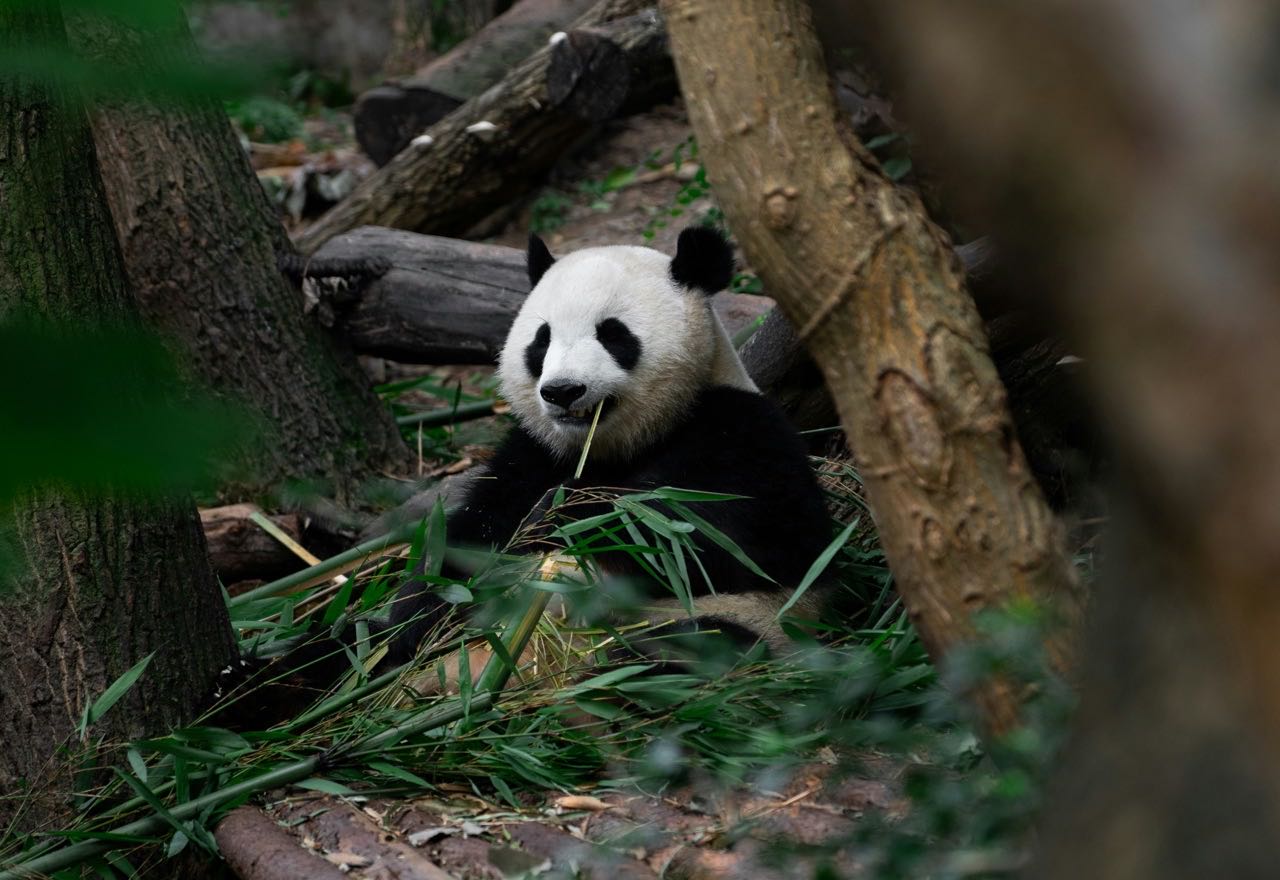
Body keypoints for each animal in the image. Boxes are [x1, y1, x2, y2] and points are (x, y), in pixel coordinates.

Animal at [379, 226, 837, 675]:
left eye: (613, 334)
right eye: (542, 341)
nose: (563, 390)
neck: (616, 443)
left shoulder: (741, 429)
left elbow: (729, 537)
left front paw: (567, 512)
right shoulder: (534, 453)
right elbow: (466, 544)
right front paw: (405, 629)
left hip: (740, 623)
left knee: (696, 647)